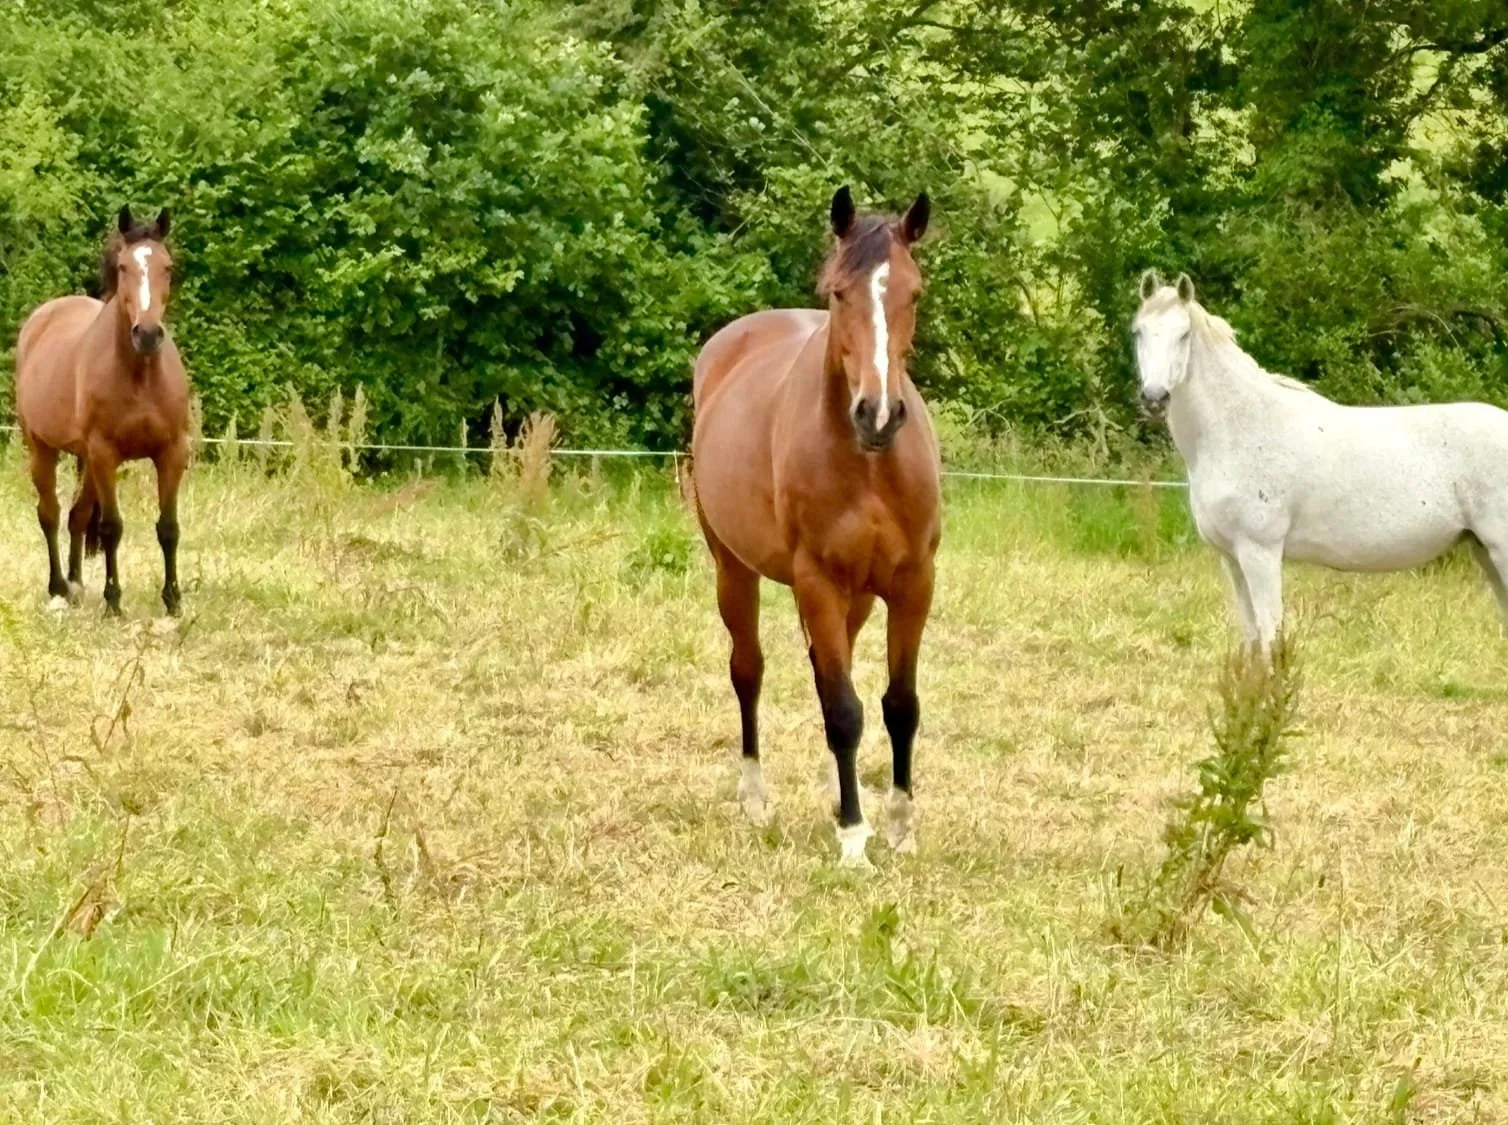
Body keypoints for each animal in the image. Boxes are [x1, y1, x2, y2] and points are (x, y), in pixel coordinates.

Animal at [14, 207, 190, 617]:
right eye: (124, 267)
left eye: (167, 267)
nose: (147, 334)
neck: (139, 376)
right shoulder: (105, 454)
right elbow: (111, 527)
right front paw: (113, 602)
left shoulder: (172, 453)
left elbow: (168, 528)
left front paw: (173, 601)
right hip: (42, 448)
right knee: (50, 513)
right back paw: (59, 587)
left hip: (87, 462)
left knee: (77, 516)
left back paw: (76, 583)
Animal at [691, 186, 941, 868]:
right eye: (838, 294)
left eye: (913, 293)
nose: (877, 414)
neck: (870, 465)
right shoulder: (818, 583)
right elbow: (844, 711)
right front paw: (855, 840)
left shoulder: (913, 585)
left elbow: (897, 706)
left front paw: (900, 828)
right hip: (734, 570)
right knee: (749, 671)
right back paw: (756, 800)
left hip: (856, 597)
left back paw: (835, 793)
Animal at [1133, 269, 1508, 653]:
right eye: (1139, 331)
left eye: (1184, 335)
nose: (1154, 398)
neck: (1240, 427)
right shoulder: (1231, 558)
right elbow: (1252, 638)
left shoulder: (1260, 552)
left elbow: (1271, 636)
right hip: (1485, 552)